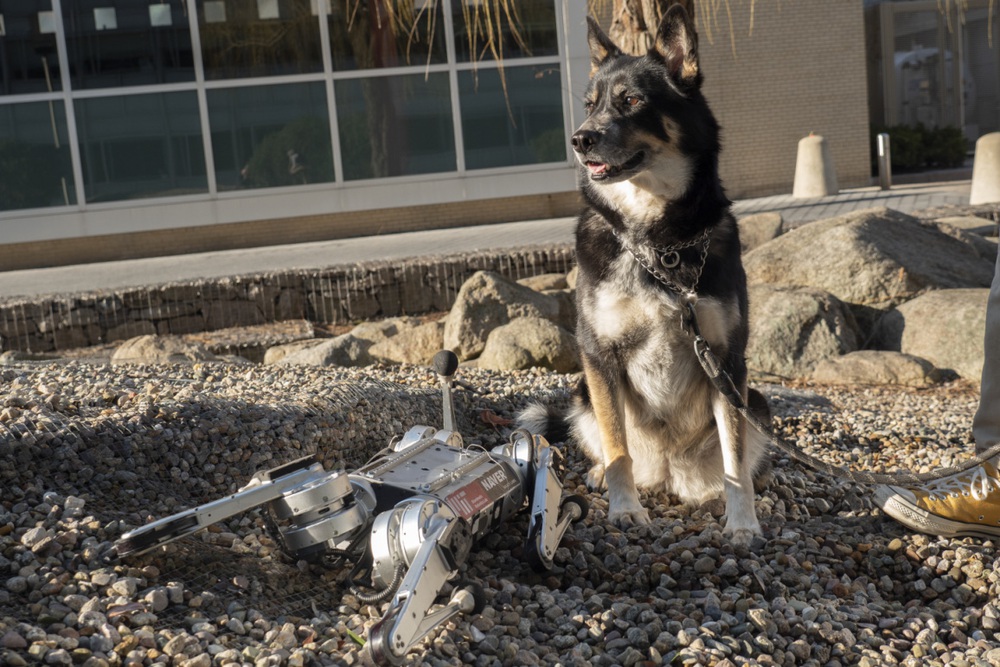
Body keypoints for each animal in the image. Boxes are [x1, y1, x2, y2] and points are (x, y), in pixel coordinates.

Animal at [520, 5, 768, 548]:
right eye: (589, 105)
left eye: (631, 100)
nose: (580, 139)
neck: (658, 244)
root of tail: (668, 472)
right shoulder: (600, 355)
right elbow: (618, 449)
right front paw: (625, 509)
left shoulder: (727, 360)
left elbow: (736, 459)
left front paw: (743, 523)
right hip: (582, 393)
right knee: (610, 446)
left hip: (756, 402)